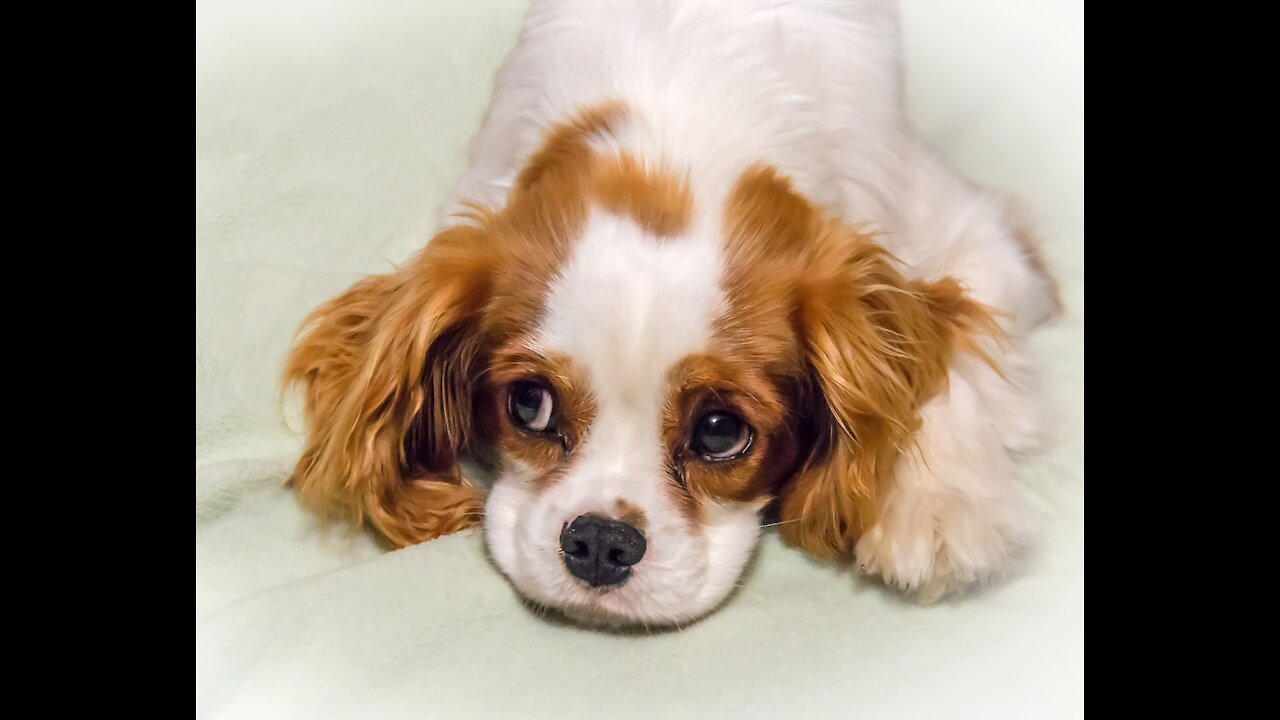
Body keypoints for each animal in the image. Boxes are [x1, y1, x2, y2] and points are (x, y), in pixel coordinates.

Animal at [282, 0, 1059, 625]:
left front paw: (942, 503)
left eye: (719, 431)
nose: (601, 541)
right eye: (528, 404)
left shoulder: (969, 231)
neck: (671, 141)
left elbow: (953, 330)